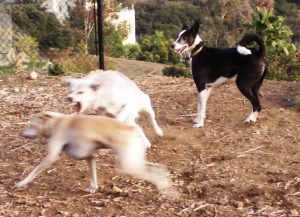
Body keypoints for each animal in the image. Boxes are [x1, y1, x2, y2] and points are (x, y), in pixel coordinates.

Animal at [14, 112, 178, 198]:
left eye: (31, 125)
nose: (22, 134)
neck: (56, 122)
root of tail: (131, 129)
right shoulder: (90, 157)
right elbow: (93, 176)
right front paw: (93, 189)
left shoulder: (51, 157)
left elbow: (33, 171)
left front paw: (21, 183)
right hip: (134, 161)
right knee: (158, 168)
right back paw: (165, 183)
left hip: (129, 166)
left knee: (154, 176)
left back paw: (167, 192)